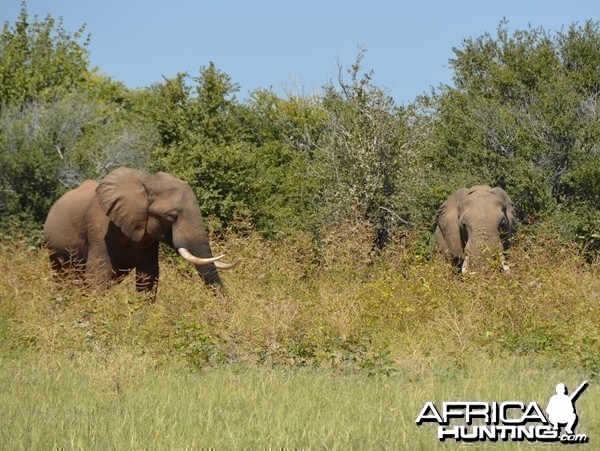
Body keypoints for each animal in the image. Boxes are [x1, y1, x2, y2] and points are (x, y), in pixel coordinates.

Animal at [42, 168, 237, 294]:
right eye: (171, 216)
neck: (148, 185)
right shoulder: (98, 230)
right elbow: (97, 278)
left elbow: (148, 278)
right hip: (54, 251)